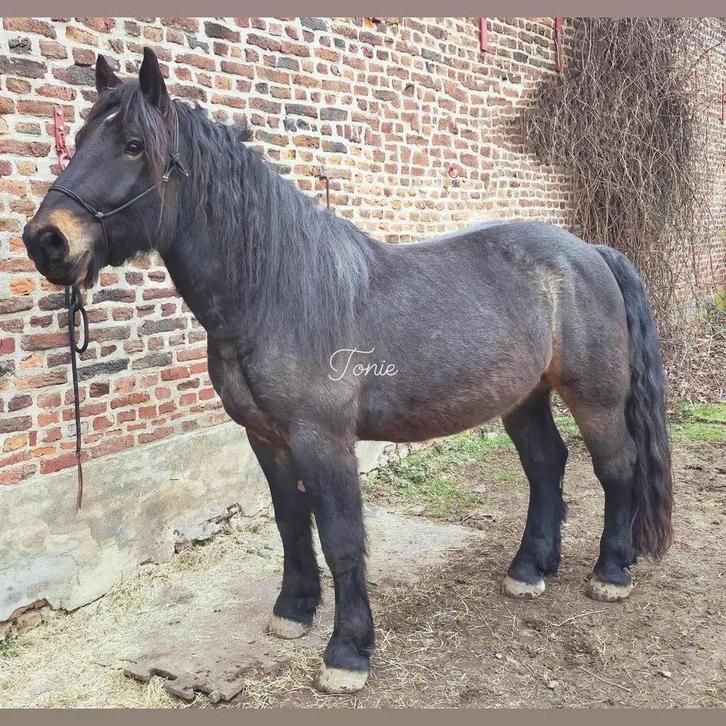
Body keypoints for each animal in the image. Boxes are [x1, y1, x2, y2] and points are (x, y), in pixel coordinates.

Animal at [22, 48, 673, 694]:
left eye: (133, 145)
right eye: (79, 138)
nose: (46, 240)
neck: (277, 293)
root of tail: (591, 252)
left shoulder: (324, 440)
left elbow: (341, 537)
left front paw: (347, 653)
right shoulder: (266, 438)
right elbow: (291, 522)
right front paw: (292, 611)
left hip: (594, 397)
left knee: (616, 467)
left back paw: (611, 572)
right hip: (523, 397)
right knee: (545, 465)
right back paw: (530, 569)